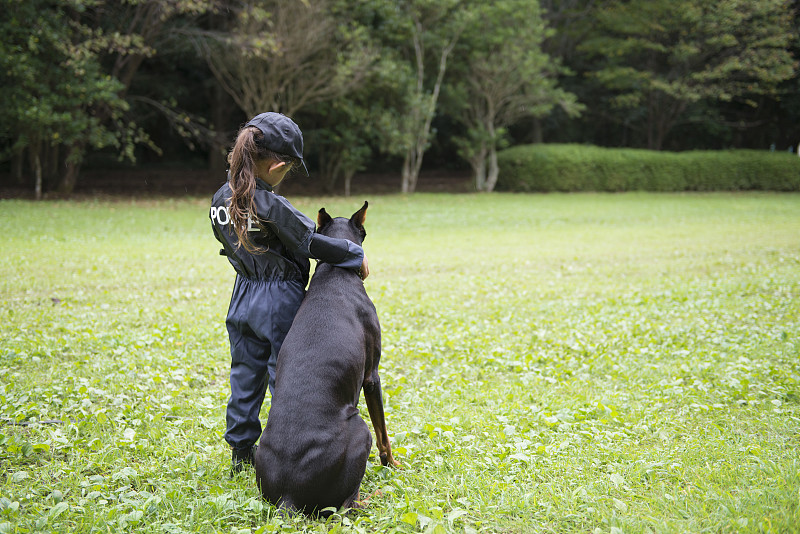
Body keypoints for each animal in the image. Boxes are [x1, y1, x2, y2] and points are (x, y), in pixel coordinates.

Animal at [253, 201, 396, 516]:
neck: (335, 270)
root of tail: (288, 498)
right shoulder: (372, 377)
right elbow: (384, 435)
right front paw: (394, 466)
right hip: (360, 428)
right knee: (345, 507)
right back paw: (375, 495)